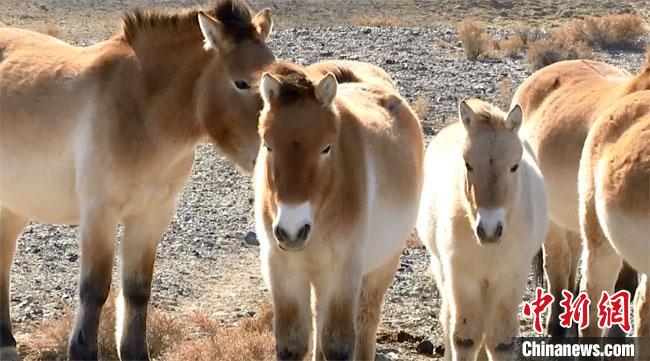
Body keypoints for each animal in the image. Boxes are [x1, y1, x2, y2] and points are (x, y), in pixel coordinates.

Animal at [0, 1, 274, 358]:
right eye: (241, 83)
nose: (269, 156)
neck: (142, 110)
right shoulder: (100, 214)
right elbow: (94, 289)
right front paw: (82, 350)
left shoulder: (151, 217)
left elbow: (137, 290)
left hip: (13, 207)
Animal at [416, 99, 548, 360]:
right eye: (468, 164)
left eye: (514, 166)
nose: (489, 230)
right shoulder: (463, 277)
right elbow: (464, 338)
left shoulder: (510, 277)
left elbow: (500, 341)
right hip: (442, 267)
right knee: (449, 317)